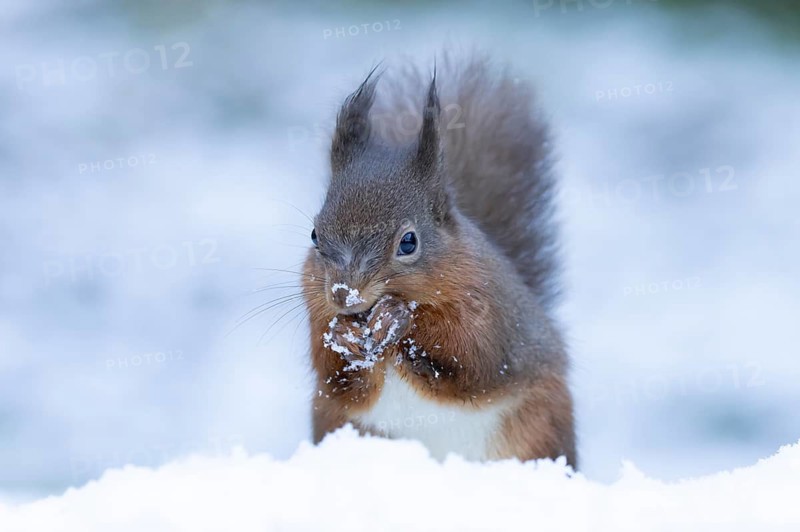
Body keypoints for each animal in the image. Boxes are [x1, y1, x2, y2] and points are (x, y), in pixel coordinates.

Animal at [302, 55, 576, 467]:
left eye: (408, 242)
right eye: (315, 234)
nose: (342, 295)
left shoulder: (490, 317)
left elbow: (469, 366)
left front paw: (399, 320)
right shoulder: (316, 317)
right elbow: (340, 382)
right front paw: (343, 335)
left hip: (540, 427)